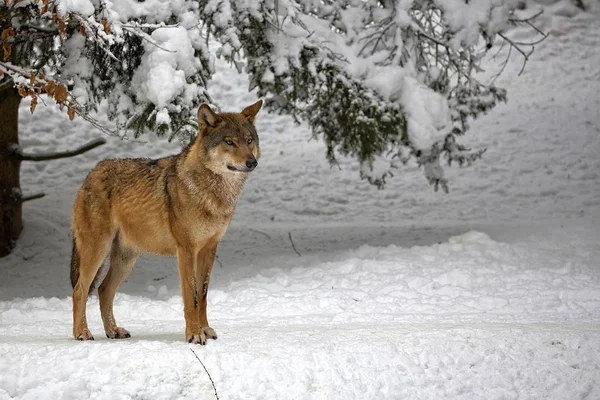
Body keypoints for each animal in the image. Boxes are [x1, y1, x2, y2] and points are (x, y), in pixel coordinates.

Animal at [71, 100, 262, 344]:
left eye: (249, 141)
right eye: (229, 142)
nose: (252, 162)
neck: (211, 193)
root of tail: (89, 175)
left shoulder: (209, 249)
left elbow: (203, 295)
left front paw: (205, 329)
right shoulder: (186, 250)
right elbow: (191, 297)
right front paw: (194, 334)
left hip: (126, 259)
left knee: (104, 290)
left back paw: (113, 331)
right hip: (97, 251)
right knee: (80, 290)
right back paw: (81, 332)